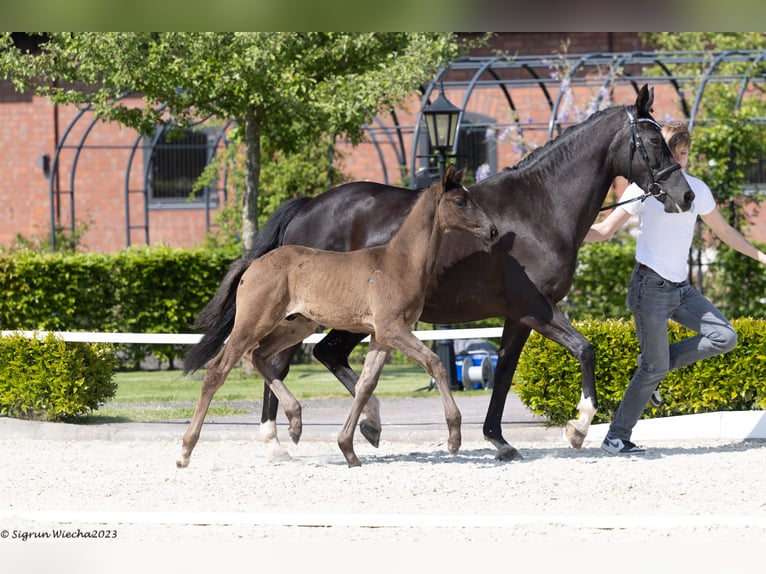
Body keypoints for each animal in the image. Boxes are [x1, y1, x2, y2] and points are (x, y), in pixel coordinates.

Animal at [182, 165, 498, 468]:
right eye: (460, 202)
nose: (493, 230)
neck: (398, 263)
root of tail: (252, 264)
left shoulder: (382, 335)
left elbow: (365, 384)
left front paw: (350, 447)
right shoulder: (393, 328)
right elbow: (435, 363)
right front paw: (454, 437)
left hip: (299, 324)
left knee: (258, 355)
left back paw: (295, 421)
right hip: (255, 320)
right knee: (219, 368)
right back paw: (186, 450)